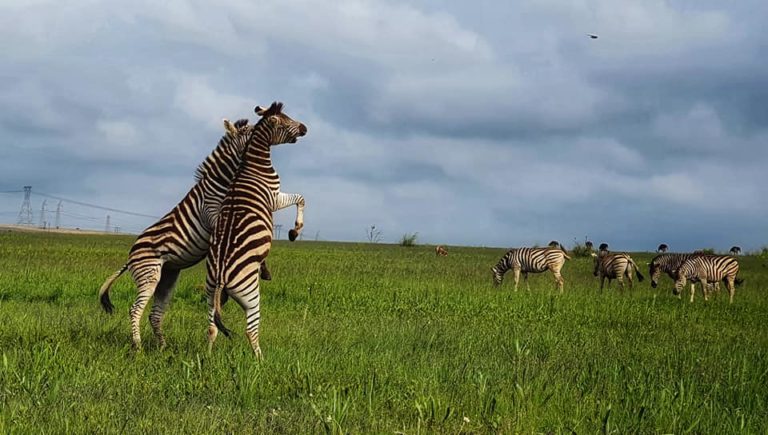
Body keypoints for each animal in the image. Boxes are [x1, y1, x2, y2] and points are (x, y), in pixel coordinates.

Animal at [98, 117, 306, 350]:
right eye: (251, 132)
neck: (221, 183)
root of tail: (131, 254)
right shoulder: (215, 216)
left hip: (167, 277)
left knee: (155, 314)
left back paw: (162, 348)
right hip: (148, 275)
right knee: (135, 310)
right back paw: (138, 346)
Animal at [208, 102, 307, 358]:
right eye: (286, 121)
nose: (305, 128)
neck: (252, 165)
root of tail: (221, 276)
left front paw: (267, 269)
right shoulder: (275, 197)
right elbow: (301, 198)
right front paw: (294, 231)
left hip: (209, 294)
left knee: (211, 328)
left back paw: (206, 357)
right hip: (251, 295)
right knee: (250, 330)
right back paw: (260, 360)